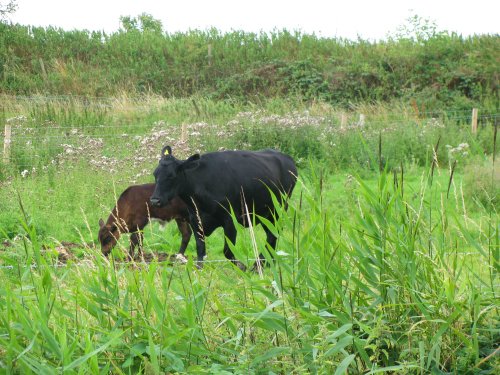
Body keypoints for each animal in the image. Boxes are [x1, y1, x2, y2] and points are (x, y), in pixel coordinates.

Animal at [148, 145, 296, 272]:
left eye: (171, 176)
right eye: (155, 174)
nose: (155, 200)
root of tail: (286, 158)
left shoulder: (230, 220)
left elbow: (228, 251)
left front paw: (241, 267)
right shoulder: (195, 220)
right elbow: (200, 249)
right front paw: (199, 271)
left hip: (277, 209)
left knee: (273, 234)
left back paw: (258, 265)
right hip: (265, 214)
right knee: (272, 234)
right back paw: (268, 263)